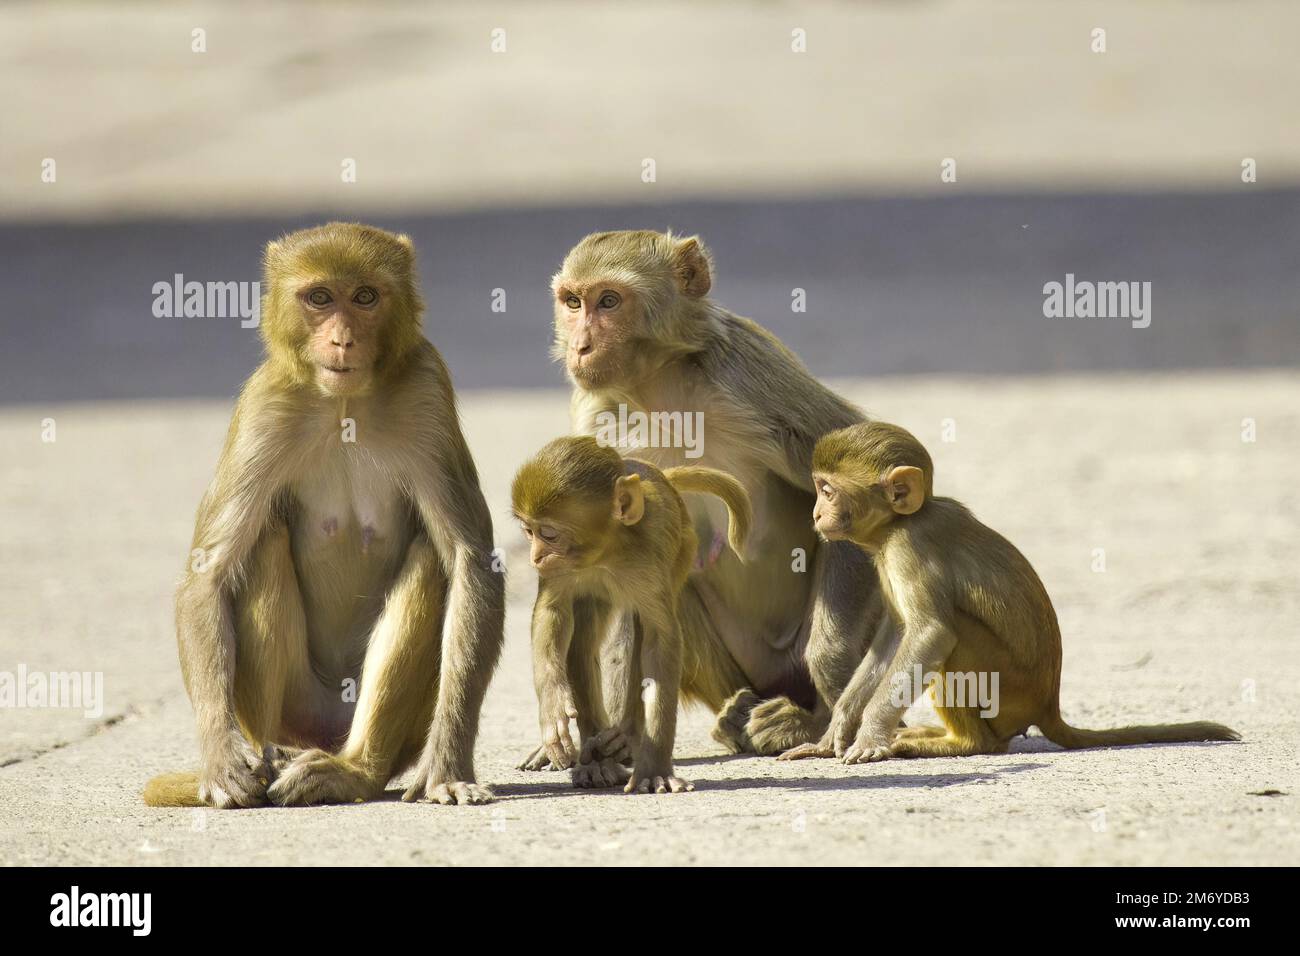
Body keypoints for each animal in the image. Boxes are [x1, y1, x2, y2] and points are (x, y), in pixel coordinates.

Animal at [144, 222, 501, 806]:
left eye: (365, 297)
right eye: (319, 298)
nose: (342, 339)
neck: (345, 405)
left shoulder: (427, 389)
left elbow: (471, 561)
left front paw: (448, 765)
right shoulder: (265, 406)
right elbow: (208, 573)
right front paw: (221, 761)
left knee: (430, 558)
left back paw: (351, 772)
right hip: (293, 708)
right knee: (262, 545)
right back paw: (273, 760)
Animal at [509, 437, 754, 796]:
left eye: (549, 534)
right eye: (529, 532)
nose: (535, 557)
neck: (606, 552)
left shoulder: (650, 558)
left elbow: (659, 640)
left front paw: (654, 769)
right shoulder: (562, 572)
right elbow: (551, 613)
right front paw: (553, 708)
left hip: (684, 548)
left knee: (638, 632)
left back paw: (626, 735)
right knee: (582, 639)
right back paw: (595, 758)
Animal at [522, 227, 878, 764]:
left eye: (609, 301)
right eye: (572, 302)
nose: (580, 347)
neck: (658, 391)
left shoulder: (748, 374)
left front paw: (831, 694)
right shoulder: (596, 416)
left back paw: (803, 719)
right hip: (730, 672)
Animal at [780, 421, 1237, 764]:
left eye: (827, 490)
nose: (816, 513)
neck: (897, 524)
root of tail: (1048, 706)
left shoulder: (910, 548)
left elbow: (930, 635)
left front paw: (870, 738)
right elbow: (894, 638)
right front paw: (835, 731)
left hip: (1005, 694)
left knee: (957, 642)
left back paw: (960, 743)